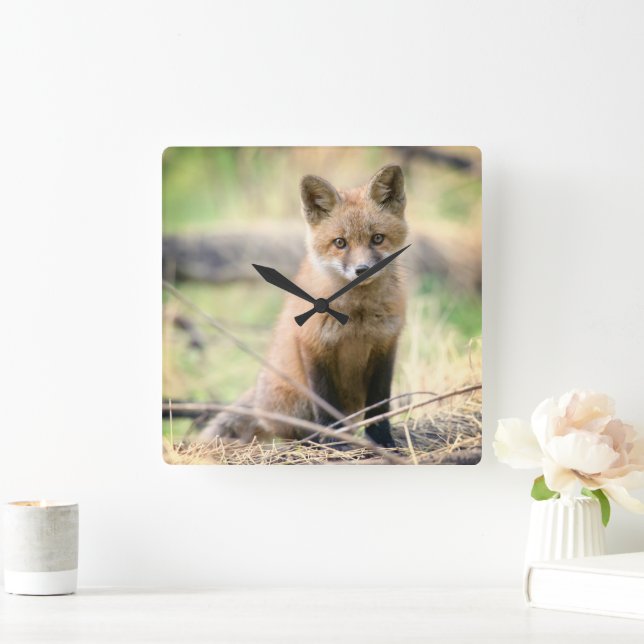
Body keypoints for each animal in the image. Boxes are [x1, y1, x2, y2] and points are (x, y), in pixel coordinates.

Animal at [200, 164, 409, 448]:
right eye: (340, 243)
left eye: (377, 239)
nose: (362, 270)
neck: (356, 317)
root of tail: (259, 399)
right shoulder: (313, 345)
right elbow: (325, 402)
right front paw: (333, 442)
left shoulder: (386, 346)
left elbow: (380, 404)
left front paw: (383, 440)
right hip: (294, 401)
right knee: (291, 431)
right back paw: (311, 440)